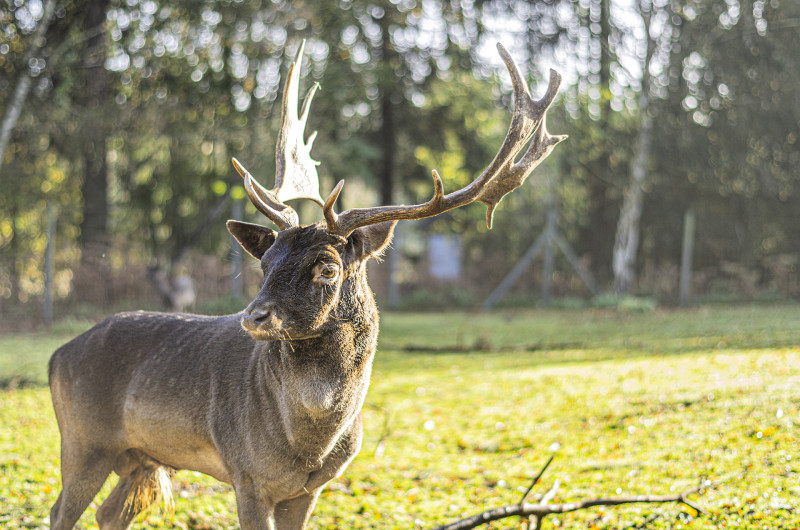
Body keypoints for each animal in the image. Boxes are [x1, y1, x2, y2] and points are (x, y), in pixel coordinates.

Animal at [48, 42, 564, 528]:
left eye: (328, 267)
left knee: (107, 513)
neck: (309, 445)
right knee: (61, 511)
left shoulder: (310, 489)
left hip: (139, 456)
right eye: (265, 262)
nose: (254, 316)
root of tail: (57, 355)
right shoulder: (246, 474)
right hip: (83, 440)